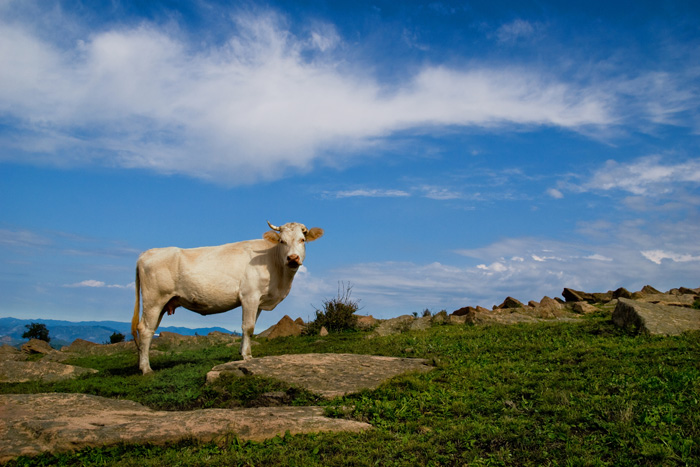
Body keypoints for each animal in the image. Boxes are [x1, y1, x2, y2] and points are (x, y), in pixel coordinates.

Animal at [131, 221, 322, 374]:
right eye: (282, 241)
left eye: (302, 240)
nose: (293, 258)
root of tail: (147, 253)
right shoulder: (250, 296)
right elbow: (248, 327)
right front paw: (247, 356)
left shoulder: (259, 301)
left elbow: (249, 328)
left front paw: (241, 352)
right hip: (154, 300)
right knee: (145, 330)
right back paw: (146, 369)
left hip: (164, 303)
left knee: (150, 329)